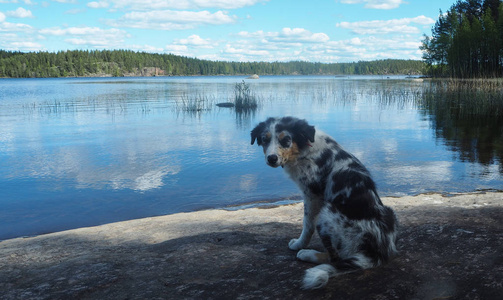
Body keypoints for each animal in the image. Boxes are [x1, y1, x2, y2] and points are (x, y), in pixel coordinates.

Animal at [251, 116, 398, 288]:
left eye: (286, 139)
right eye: (264, 139)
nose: (272, 158)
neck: (305, 149)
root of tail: (376, 254)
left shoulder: (311, 195)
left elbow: (307, 224)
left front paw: (299, 244)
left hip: (327, 214)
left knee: (334, 258)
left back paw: (307, 254)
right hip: (390, 212)